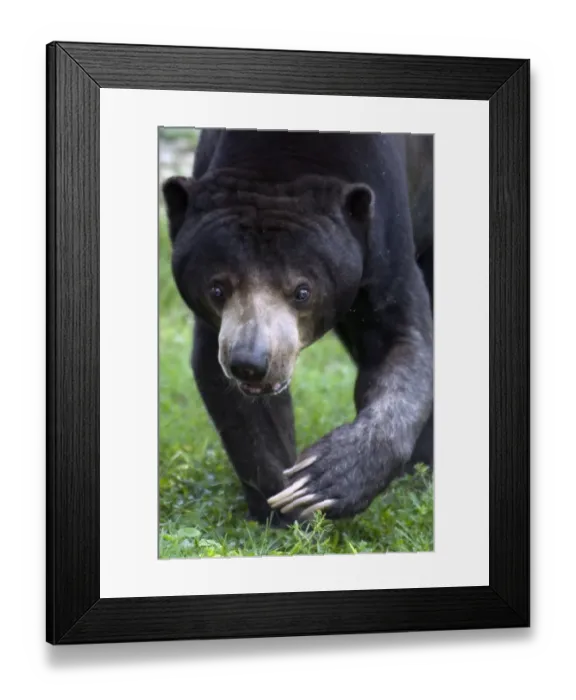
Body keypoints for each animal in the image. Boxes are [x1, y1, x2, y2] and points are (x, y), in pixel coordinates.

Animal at [162, 128, 434, 527]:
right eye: (217, 288)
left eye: (302, 291)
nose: (250, 363)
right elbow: (240, 402)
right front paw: (287, 509)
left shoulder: (386, 234)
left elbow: (402, 344)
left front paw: (324, 481)